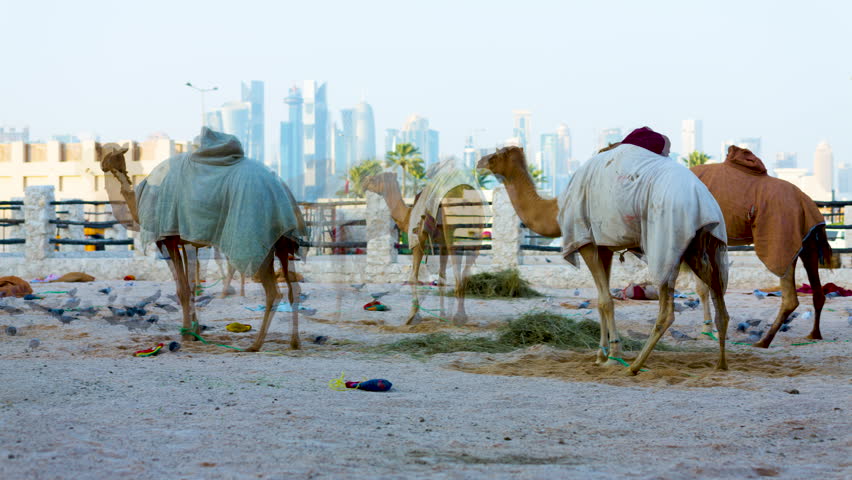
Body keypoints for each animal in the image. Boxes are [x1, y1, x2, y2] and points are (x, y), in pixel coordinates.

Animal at [97, 128, 306, 351]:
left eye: (108, 154)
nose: (101, 164)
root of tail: (283, 189)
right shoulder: (186, 242)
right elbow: (191, 287)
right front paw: (195, 331)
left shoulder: (167, 239)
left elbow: (182, 288)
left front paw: (186, 335)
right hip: (282, 242)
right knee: (293, 288)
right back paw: (294, 342)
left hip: (258, 239)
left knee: (273, 291)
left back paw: (255, 345)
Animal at [362, 170, 483, 325]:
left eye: (376, 177)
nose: (365, 181)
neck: (407, 216)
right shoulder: (442, 244)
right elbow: (441, 277)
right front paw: (442, 316)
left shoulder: (418, 241)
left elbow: (413, 277)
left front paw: (413, 317)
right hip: (476, 235)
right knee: (466, 270)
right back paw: (461, 315)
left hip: (454, 233)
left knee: (458, 272)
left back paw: (459, 317)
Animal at [478, 131, 731, 375]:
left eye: (496, 154)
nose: (480, 161)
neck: (557, 207)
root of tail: (704, 199)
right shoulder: (604, 246)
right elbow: (601, 299)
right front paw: (601, 354)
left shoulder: (586, 241)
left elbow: (605, 300)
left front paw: (612, 355)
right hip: (702, 244)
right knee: (718, 295)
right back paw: (720, 363)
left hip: (667, 240)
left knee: (668, 308)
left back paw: (635, 366)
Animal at [691, 145, 831, 347]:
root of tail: (808, 202)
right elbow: (708, 286)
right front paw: (711, 332)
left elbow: (705, 287)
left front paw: (710, 333)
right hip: (808, 238)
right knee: (817, 291)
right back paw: (814, 334)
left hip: (782, 235)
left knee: (790, 296)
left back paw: (763, 342)